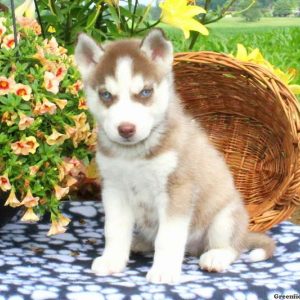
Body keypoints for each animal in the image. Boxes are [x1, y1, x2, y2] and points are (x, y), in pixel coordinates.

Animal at [74, 29, 274, 284]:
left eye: (145, 92)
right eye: (106, 95)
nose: (126, 129)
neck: (134, 155)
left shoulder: (178, 189)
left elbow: (167, 238)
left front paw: (164, 269)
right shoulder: (114, 189)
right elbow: (115, 230)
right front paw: (112, 260)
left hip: (225, 218)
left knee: (232, 248)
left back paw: (216, 257)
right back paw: (139, 243)